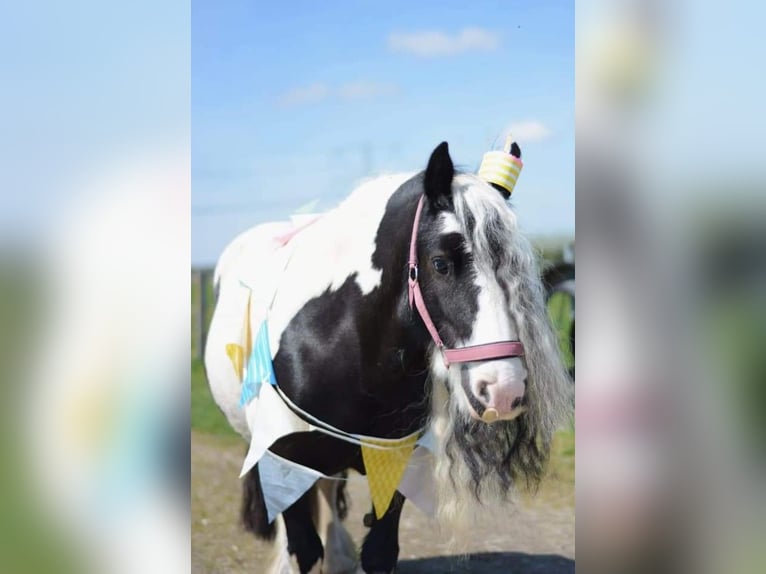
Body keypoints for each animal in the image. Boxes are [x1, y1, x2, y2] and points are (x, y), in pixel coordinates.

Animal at [207, 144, 572, 574]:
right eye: (440, 263)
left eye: (512, 270)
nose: (503, 389)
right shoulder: (283, 458)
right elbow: (302, 545)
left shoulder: (395, 468)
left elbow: (379, 552)